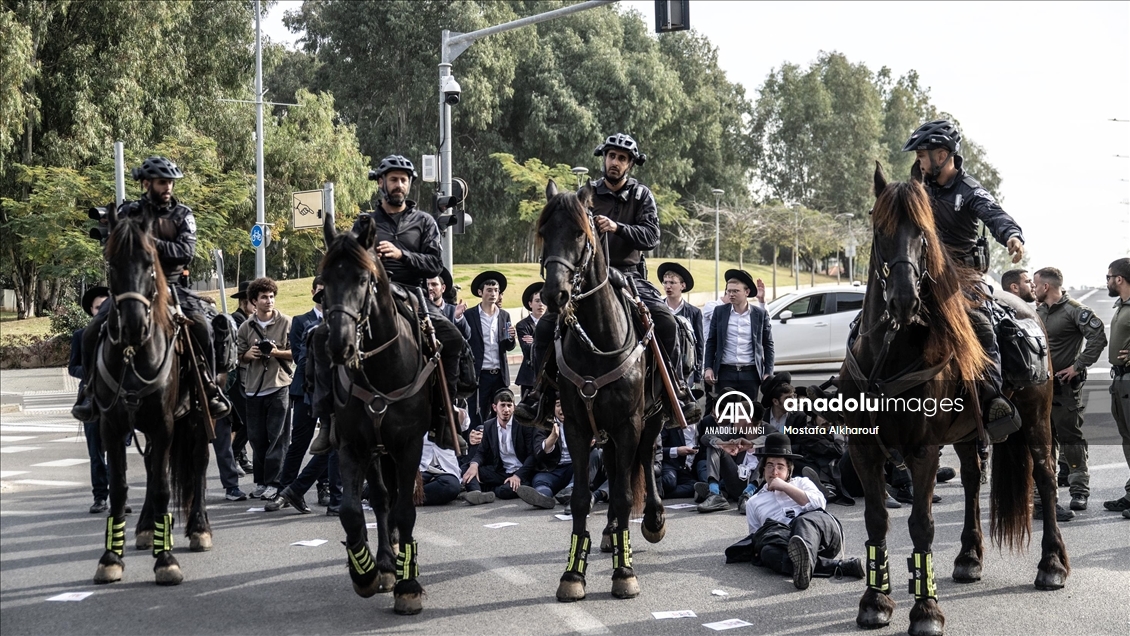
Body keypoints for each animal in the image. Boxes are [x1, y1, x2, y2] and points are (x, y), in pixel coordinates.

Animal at [91, 212, 212, 587]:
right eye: (112, 263)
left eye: (149, 263)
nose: (132, 325)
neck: (134, 353)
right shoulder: (112, 426)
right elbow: (119, 488)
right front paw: (110, 558)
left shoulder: (164, 424)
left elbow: (161, 488)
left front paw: (167, 560)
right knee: (149, 467)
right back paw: (145, 528)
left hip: (199, 418)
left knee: (199, 464)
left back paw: (199, 528)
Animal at [323, 213, 436, 619]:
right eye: (324, 281)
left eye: (363, 279)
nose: (339, 346)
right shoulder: (353, 445)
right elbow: (352, 511)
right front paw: (366, 572)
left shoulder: (409, 445)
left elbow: (406, 511)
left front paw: (409, 586)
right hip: (376, 450)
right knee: (382, 497)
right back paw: (386, 563)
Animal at [535, 180, 664, 600]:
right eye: (545, 232)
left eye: (580, 233)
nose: (554, 295)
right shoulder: (577, 426)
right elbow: (580, 498)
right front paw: (573, 574)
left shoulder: (629, 423)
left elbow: (623, 494)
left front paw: (624, 572)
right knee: (612, 466)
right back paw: (609, 532)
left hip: (652, 419)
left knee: (646, 459)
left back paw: (653, 519)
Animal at [849, 162, 1066, 632]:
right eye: (879, 228)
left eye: (923, 233)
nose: (904, 298)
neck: (889, 355)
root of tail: (1029, 309)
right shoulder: (864, 450)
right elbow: (876, 520)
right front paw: (875, 600)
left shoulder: (923, 450)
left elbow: (921, 524)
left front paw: (926, 609)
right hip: (968, 434)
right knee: (970, 480)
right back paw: (969, 556)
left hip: (1037, 419)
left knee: (1045, 477)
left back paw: (1053, 565)